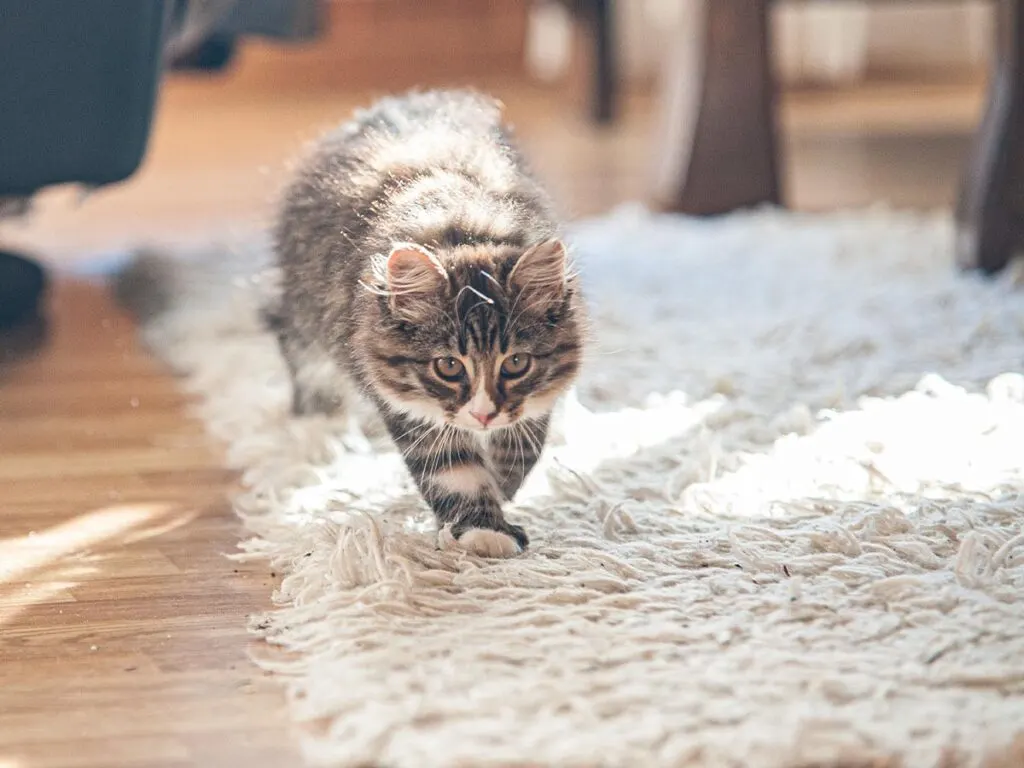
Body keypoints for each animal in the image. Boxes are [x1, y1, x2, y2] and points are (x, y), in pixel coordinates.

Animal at [262, 90, 585, 561]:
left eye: (516, 363)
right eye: (448, 367)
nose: (484, 415)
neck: (464, 231)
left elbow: (525, 440)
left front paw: (504, 483)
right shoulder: (408, 404)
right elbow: (455, 471)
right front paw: (483, 530)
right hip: (303, 303)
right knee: (302, 357)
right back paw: (320, 429)